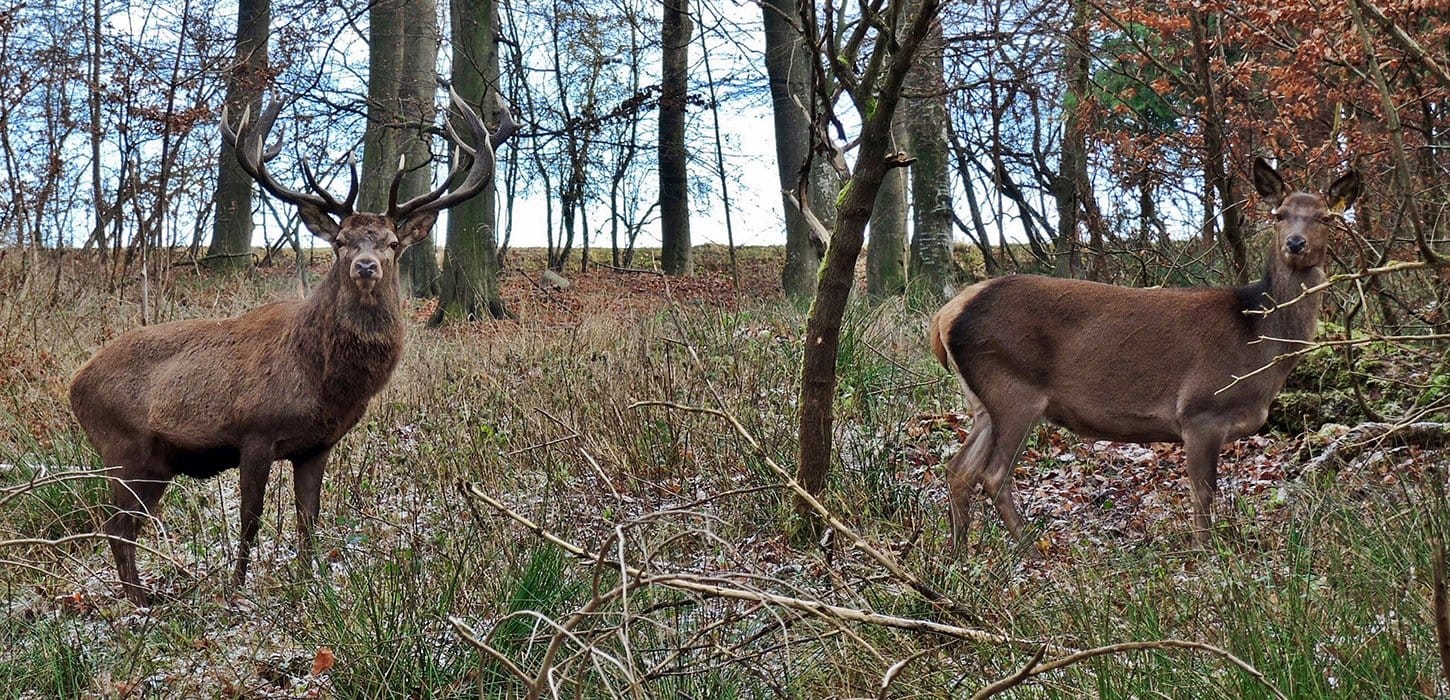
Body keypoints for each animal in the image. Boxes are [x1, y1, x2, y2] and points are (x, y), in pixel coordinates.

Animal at [68, 90, 517, 605]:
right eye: (340, 241)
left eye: (390, 242)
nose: (365, 265)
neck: (323, 383)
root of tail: (74, 384)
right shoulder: (254, 432)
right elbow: (250, 519)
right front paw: (236, 592)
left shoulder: (316, 445)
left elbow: (309, 519)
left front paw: (307, 585)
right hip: (124, 448)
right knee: (116, 527)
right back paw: (140, 603)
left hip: (156, 463)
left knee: (123, 527)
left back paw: (143, 598)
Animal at [929, 158, 1360, 555]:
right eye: (1279, 214)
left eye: (1325, 217)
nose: (1295, 243)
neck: (1257, 338)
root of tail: (945, 314)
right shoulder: (1200, 410)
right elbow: (1203, 492)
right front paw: (1207, 556)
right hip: (1014, 389)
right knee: (993, 474)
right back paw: (1031, 551)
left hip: (984, 402)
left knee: (959, 470)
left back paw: (957, 555)